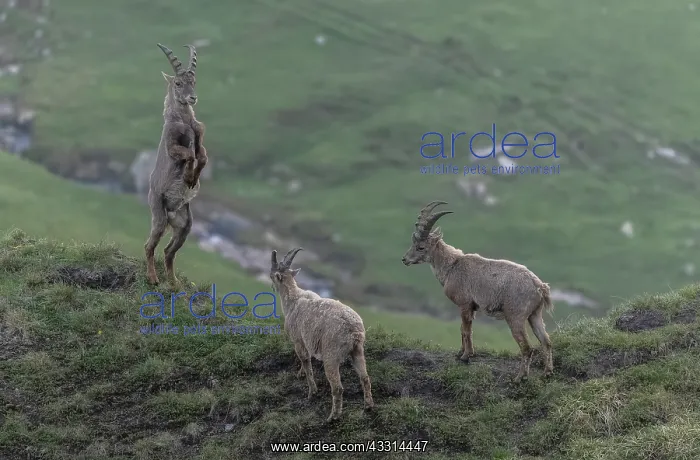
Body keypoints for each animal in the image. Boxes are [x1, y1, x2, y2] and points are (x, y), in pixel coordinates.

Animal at [144, 43, 208, 286]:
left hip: (185, 226)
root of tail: (172, 215)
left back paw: (174, 282)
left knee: (168, 251)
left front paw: (193, 180)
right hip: (159, 215)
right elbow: (188, 154)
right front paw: (189, 178)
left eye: (194, 82)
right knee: (150, 246)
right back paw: (153, 278)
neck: (184, 120)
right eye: (178, 83)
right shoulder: (172, 146)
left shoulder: (199, 138)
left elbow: (202, 156)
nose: (192, 98)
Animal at [270, 248, 375, 421]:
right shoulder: (306, 341)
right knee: (365, 377)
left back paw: (333, 417)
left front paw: (312, 392)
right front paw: (300, 374)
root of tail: (354, 331)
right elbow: (307, 361)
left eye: (272, 275)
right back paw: (368, 406)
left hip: (331, 355)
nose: (272, 287)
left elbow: (306, 363)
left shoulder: (298, 341)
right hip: (358, 351)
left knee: (338, 387)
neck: (293, 299)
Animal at [401, 201, 554, 382]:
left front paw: (466, 356)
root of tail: (540, 286)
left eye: (421, 247)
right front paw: (462, 353)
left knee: (527, 347)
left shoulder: (464, 304)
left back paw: (520, 377)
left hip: (515, 317)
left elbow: (466, 330)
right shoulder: (470, 307)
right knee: (546, 341)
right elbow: (463, 329)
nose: (404, 259)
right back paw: (547, 372)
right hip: (535, 315)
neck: (452, 266)